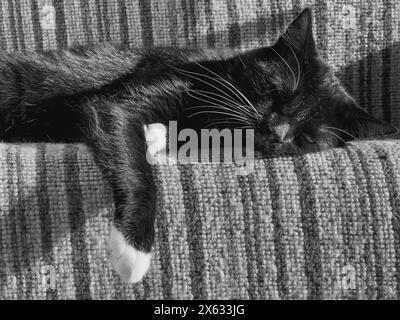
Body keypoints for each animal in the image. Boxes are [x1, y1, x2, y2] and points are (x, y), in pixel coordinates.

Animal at [0, 8, 396, 282]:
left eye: (308, 136)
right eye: (276, 89)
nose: (276, 131)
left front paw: (159, 136)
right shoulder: (122, 98)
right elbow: (135, 163)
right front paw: (133, 248)